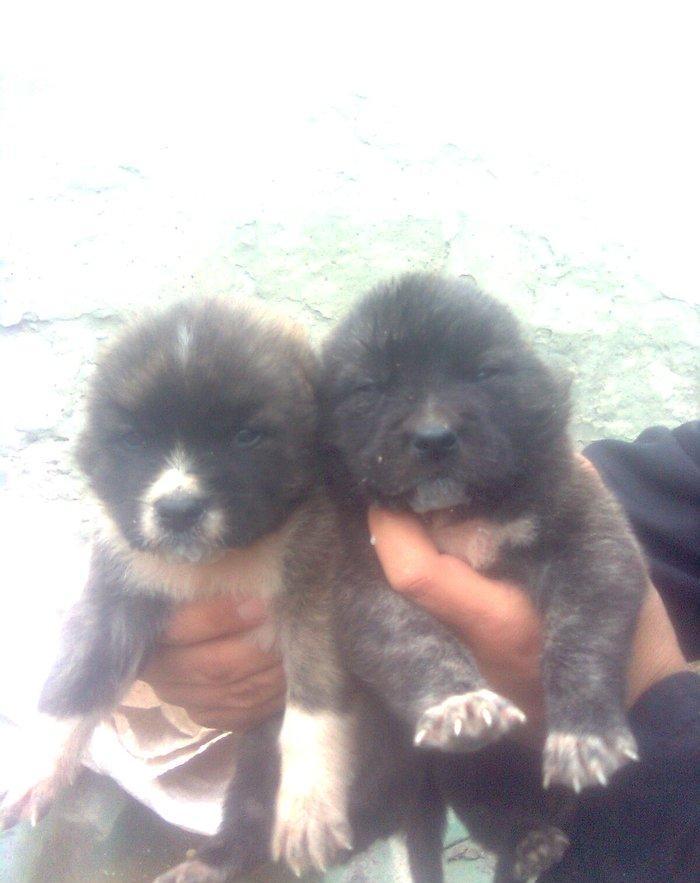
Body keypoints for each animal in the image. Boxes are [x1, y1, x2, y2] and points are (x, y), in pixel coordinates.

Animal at [316, 272, 648, 880]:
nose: (433, 437)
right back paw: (531, 845)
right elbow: (412, 641)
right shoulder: (359, 585)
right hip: (469, 778)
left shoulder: (592, 540)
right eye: (370, 388)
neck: (455, 512)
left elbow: (582, 635)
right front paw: (459, 705)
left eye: (484, 373)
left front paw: (585, 734)